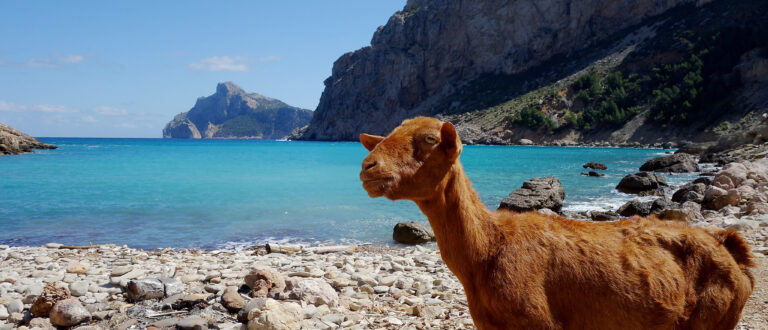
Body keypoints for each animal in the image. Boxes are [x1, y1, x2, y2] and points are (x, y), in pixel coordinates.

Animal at [360, 117, 756, 328]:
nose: (367, 167)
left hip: (713, 317)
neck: (489, 248)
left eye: (429, 139)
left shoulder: (539, 321)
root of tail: (730, 247)